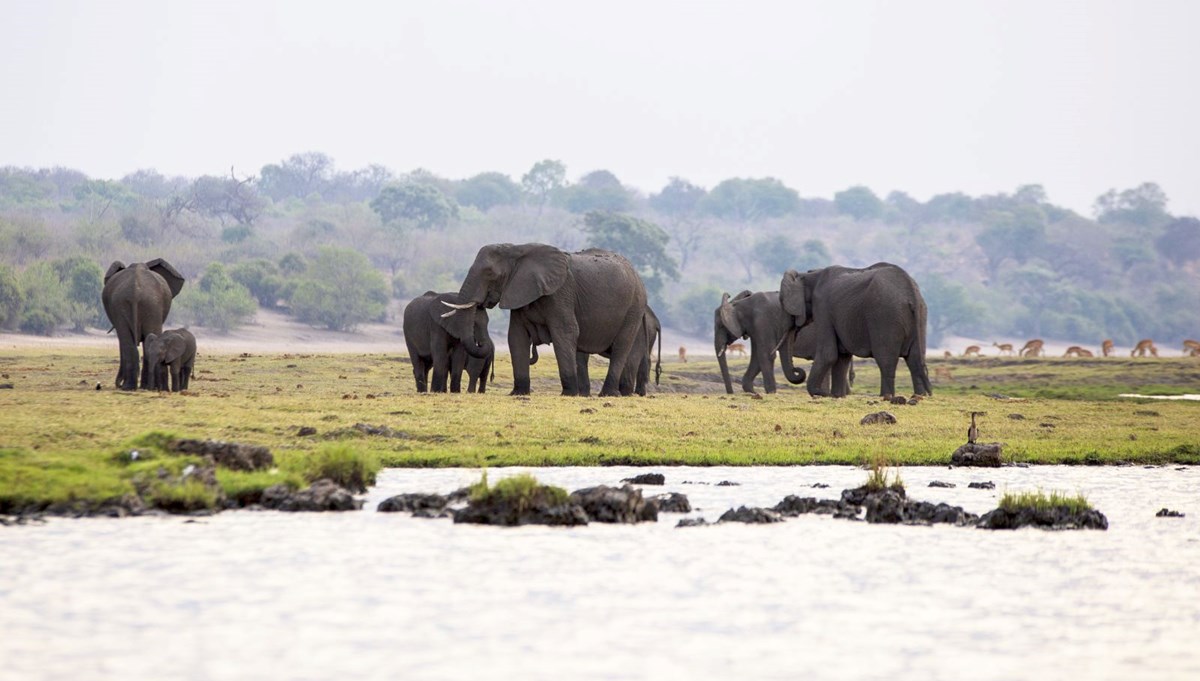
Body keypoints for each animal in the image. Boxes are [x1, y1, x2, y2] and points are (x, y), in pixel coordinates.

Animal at [101, 258, 184, 388]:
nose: (118, 383)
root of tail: (135, 291)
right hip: (144, 304)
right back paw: (134, 387)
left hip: (145, 304)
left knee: (130, 339)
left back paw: (132, 387)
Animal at [446, 243, 648, 395]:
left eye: (490, 273)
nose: (480, 305)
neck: (517, 249)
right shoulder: (519, 292)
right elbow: (516, 337)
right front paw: (518, 393)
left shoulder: (560, 294)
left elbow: (565, 333)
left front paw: (569, 394)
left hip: (634, 306)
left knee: (622, 346)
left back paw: (608, 394)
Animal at [710, 291, 854, 395]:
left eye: (720, 326)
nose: (731, 393)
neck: (739, 304)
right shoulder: (756, 328)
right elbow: (757, 358)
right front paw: (752, 392)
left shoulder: (762, 322)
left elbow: (766, 355)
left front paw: (771, 392)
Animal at [772, 262, 931, 398]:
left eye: (783, 304)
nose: (798, 370)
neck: (808, 275)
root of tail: (912, 293)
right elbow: (842, 357)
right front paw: (837, 396)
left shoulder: (822, 308)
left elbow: (829, 353)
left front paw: (824, 394)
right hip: (920, 315)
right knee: (915, 360)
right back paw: (920, 396)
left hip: (886, 316)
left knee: (886, 360)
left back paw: (886, 397)